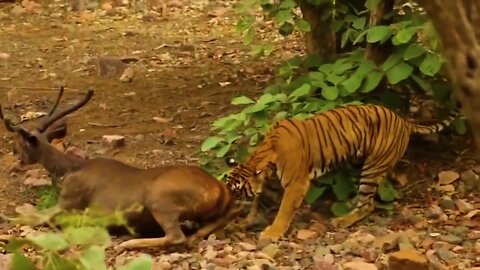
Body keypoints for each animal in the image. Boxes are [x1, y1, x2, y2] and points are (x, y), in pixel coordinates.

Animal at [1, 87, 242, 250]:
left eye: (19, 145)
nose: (17, 161)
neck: (68, 170)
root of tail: (219, 190)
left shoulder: (68, 201)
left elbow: (30, 218)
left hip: (161, 199)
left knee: (176, 236)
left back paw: (127, 243)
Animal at [225, 103, 458, 240]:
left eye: (236, 191)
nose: (226, 208)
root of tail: (404, 121)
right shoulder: (272, 185)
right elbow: (259, 205)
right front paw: (244, 223)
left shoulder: (296, 184)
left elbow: (283, 211)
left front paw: (272, 233)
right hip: (357, 165)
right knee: (363, 198)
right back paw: (346, 206)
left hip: (373, 167)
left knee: (368, 204)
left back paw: (342, 221)